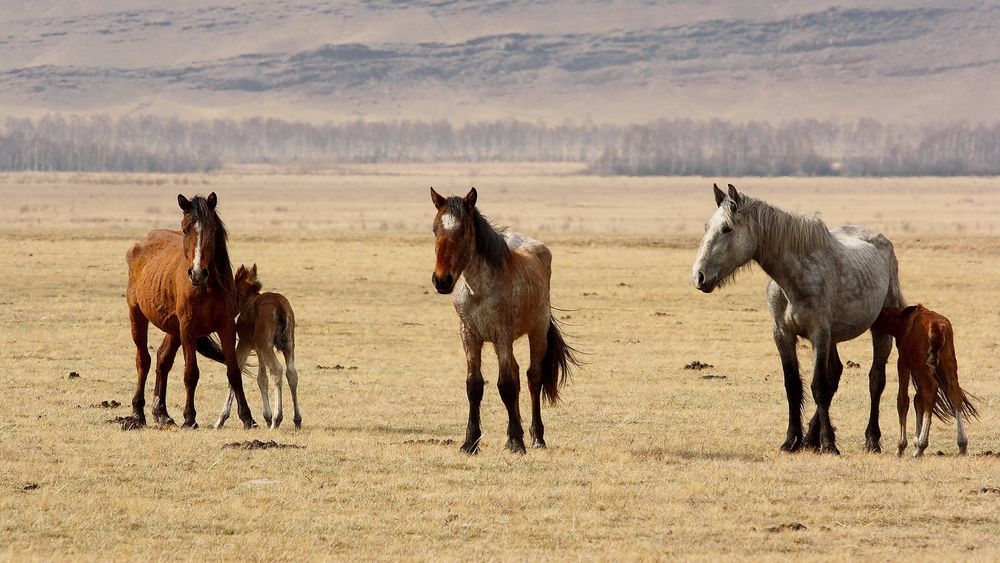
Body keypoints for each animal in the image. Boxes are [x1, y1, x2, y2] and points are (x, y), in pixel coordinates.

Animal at [125, 192, 256, 429]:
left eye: (212, 229)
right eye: (185, 229)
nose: (197, 273)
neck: (206, 287)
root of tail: (140, 245)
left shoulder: (226, 326)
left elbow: (234, 372)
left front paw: (248, 417)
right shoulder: (188, 327)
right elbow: (191, 373)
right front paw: (189, 417)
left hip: (173, 329)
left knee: (163, 359)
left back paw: (162, 413)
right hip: (137, 316)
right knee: (144, 361)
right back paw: (138, 413)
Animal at [214, 264, 301, 430]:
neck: (248, 301)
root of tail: (279, 307)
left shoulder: (245, 344)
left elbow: (234, 374)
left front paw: (221, 419)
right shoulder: (259, 349)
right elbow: (262, 378)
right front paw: (266, 417)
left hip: (267, 346)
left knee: (277, 369)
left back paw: (277, 419)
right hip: (289, 345)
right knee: (291, 373)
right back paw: (297, 420)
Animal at [430, 187, 579, 454]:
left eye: (462, 230)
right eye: (435, 229)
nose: (442, 280)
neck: (478, 289)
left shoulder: (503, 336)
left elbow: (506, 385)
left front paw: (517, 442)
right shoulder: (469, 334)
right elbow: (474, 385)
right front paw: (470, 442)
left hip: (537, 331)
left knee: (533, 378)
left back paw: (536, 437)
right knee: (519, 375)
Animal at [691, 184, 904, 454]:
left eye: (727, 229)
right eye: (707, 227)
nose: (699, 276)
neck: (792, 279)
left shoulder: (819, 333)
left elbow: (818, 386)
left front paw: (829, 443)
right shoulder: (783, 334)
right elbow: (793, 385)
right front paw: (792, 440)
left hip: (879, 330)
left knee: (875, 379)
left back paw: (871, 439)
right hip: (833, 338)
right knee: (836, 374)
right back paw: (810, 438)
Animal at [872, 304, 978, 457]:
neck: (903, 319)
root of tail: (936, 326)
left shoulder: (903, 362)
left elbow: (903, 400)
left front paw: (902, 446)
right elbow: (918, 399)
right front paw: (915, 441)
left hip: (923, 365)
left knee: (930, 389)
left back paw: (921, 445)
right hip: (948, 363)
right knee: (955, 393)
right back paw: (962, 444)